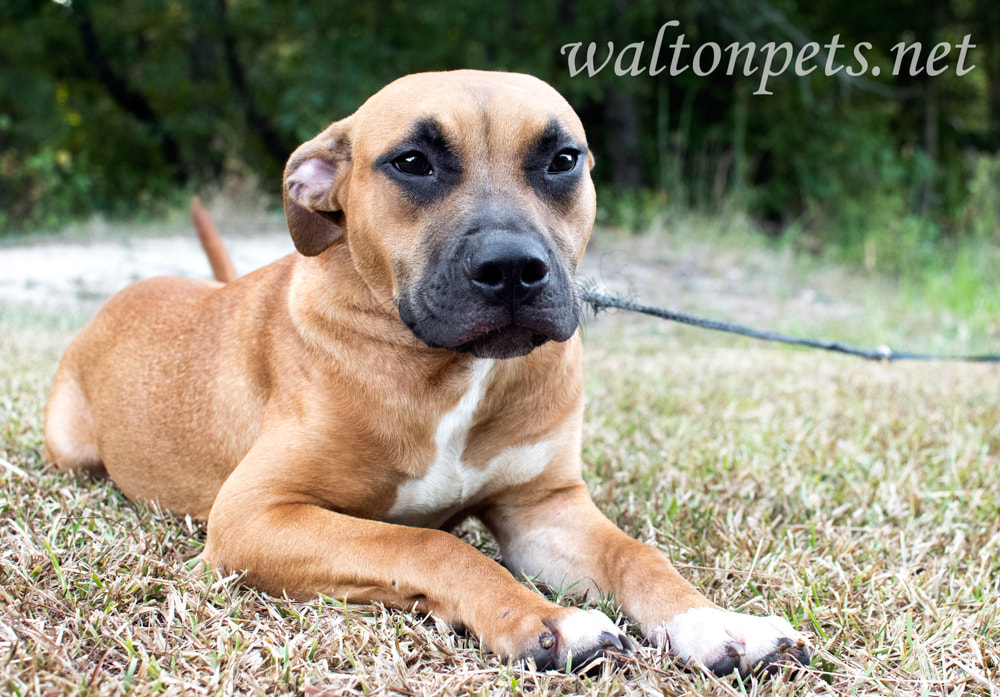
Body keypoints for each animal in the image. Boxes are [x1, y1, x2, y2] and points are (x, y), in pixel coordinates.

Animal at [48, 69, 812, 676]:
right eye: (413, 162)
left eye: (563, 159)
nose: (514, 268)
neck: (452, 370)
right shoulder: (255, 515)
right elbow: (432, 543)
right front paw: (546, 621)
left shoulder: (544, 509)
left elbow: (638, 553)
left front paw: (717, 623)